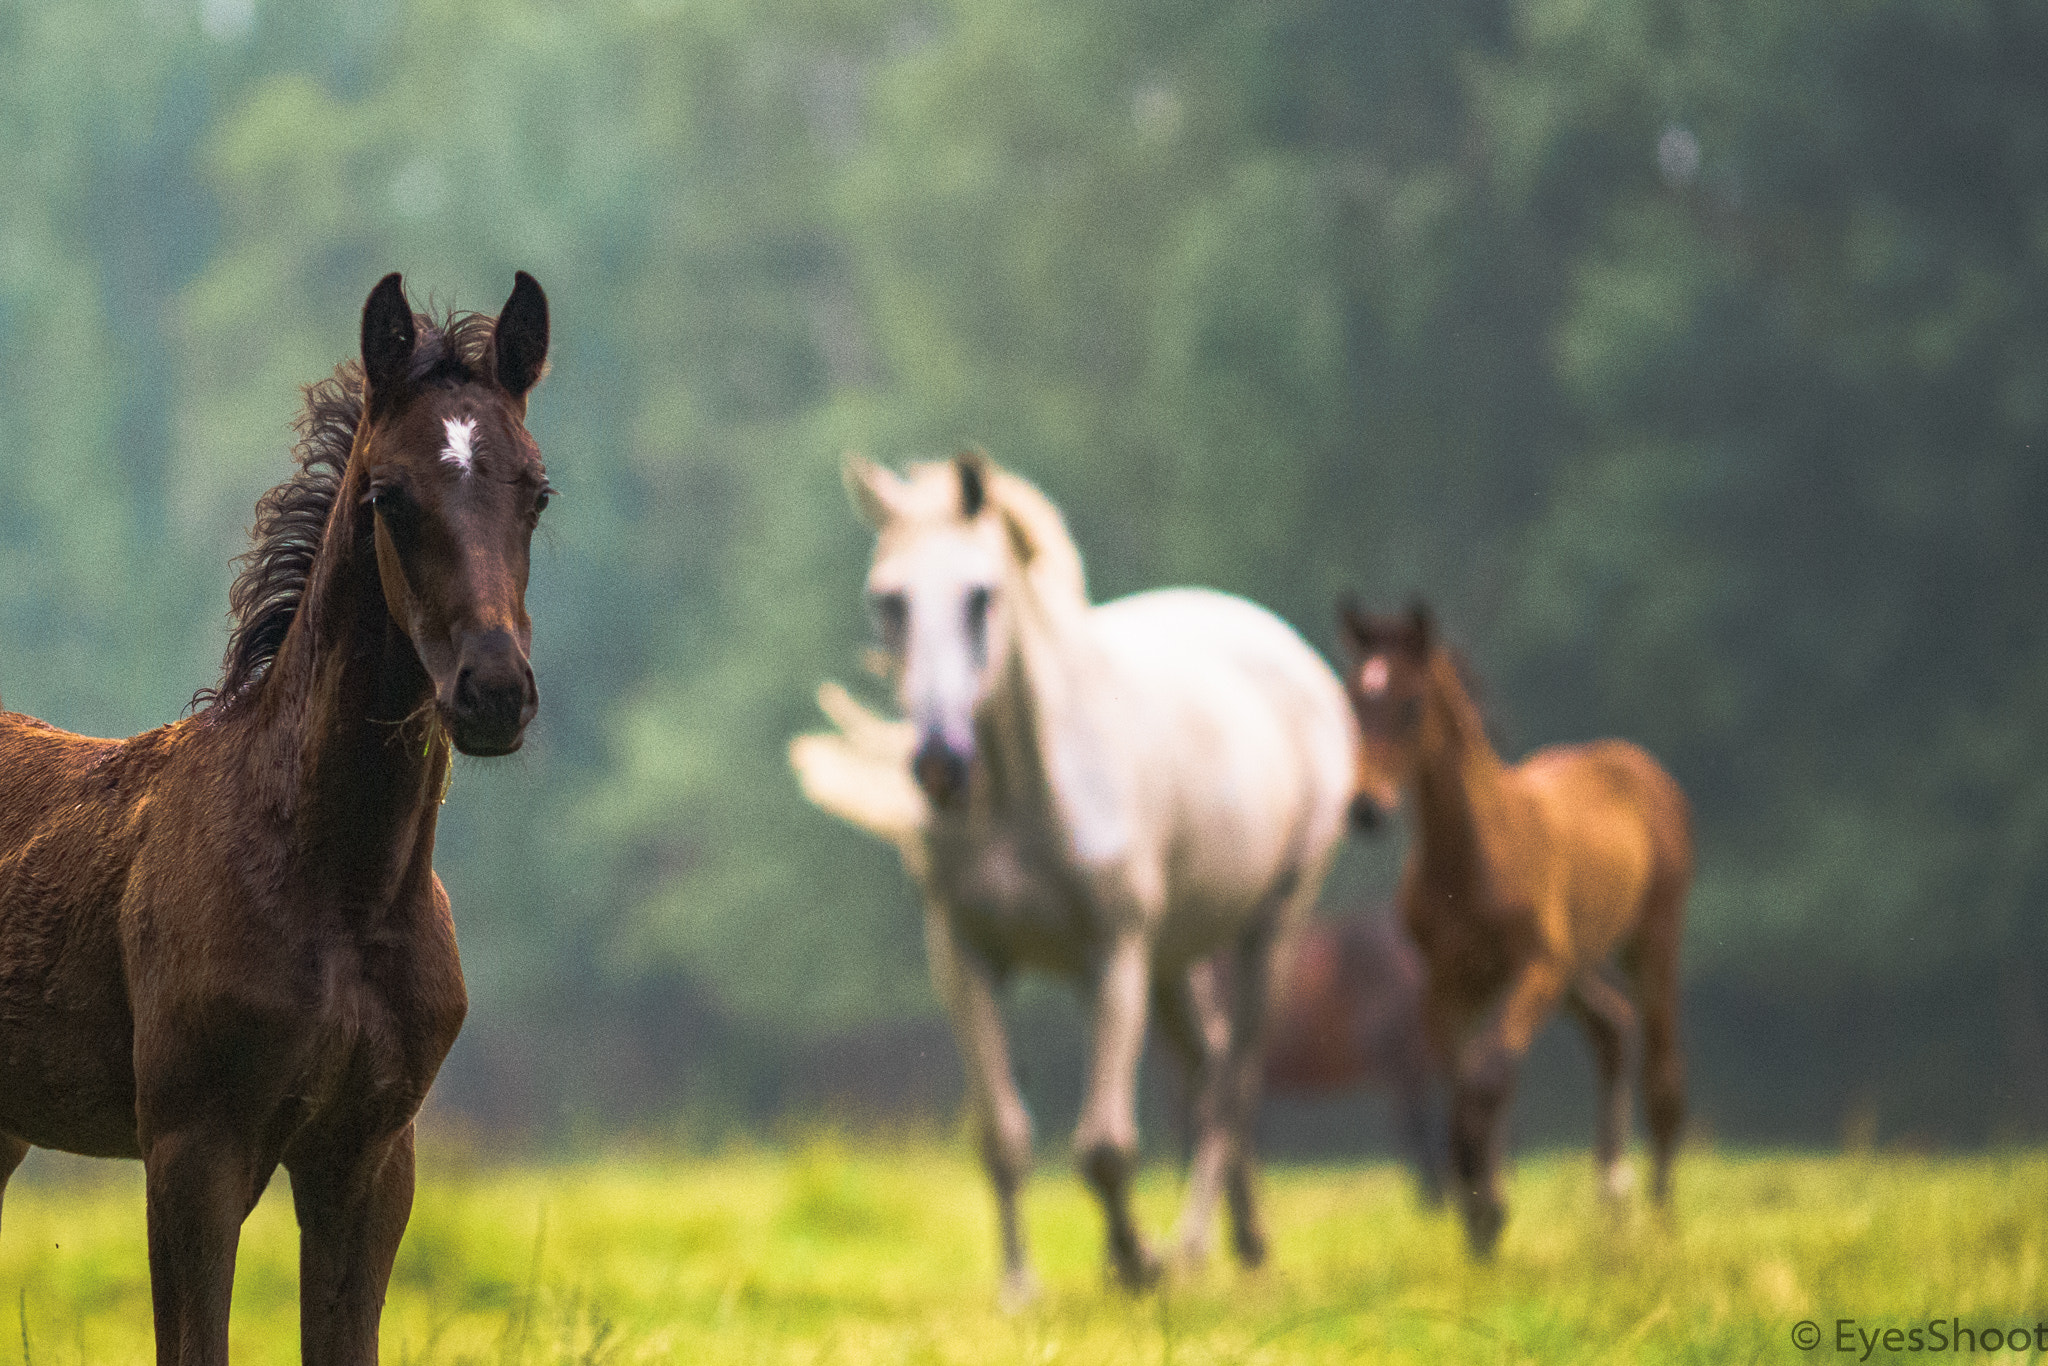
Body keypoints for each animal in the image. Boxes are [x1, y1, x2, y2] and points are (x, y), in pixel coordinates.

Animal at [0, 272, 552, 1359]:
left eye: (536, 491)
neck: (340, 888)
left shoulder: (367, 1159)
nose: (493, 692)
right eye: (388, 495)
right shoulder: (192, 1152)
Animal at [790, 454, 1351, 1302]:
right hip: (1175, 959)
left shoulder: (1114, 954)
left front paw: (1136, 1263)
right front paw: (1020, 1288)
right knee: (1210, 1067)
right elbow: (1003, 1134)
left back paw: (1199, 1247)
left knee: (1233, 1082)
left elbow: (1105, 1144)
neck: (1025, 794)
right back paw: (1240, 1240)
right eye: (887, 599)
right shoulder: (963, 955)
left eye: (981, 595)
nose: (940, 763)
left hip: (1270, 923)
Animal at [1335, 610, 1687, 1261]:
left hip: (1650, 938)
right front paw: (1479, 1217)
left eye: (1411, 703)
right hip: (1576, 964)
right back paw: (1612, 1197)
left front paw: (1488, 1209)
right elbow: (1463, 1083)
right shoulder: (1448, 984)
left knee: (1661, 1070)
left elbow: (1489, 1075)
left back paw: (1660, 1219)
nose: (1366, 808)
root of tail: (1635, 764)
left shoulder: (1534, 968)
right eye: (1353, 698)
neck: (1474, 859)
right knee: (1613, 1027)